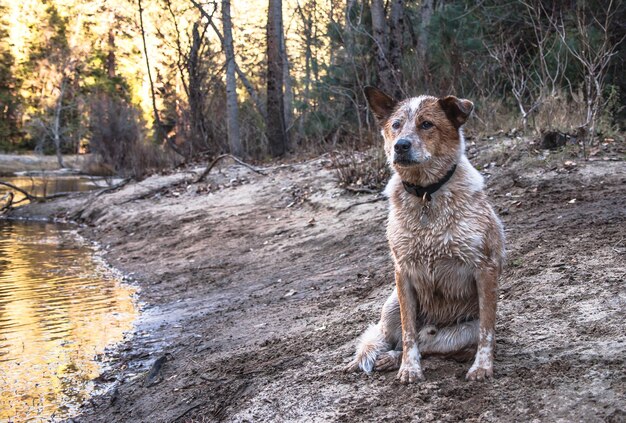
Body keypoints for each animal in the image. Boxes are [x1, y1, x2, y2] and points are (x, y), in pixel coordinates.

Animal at [344, 87, 504, 384]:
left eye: (427, 124)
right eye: (396, 125)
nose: (401, 145)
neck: (426, 195)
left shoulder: (485, 268)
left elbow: (487, 332)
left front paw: (482, 368)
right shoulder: (403, 272)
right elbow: (408, 334)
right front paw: (409, 369)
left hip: (460, 332)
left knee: (431, 343)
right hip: (391, 305)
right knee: (396, 337)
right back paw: (383, 358)